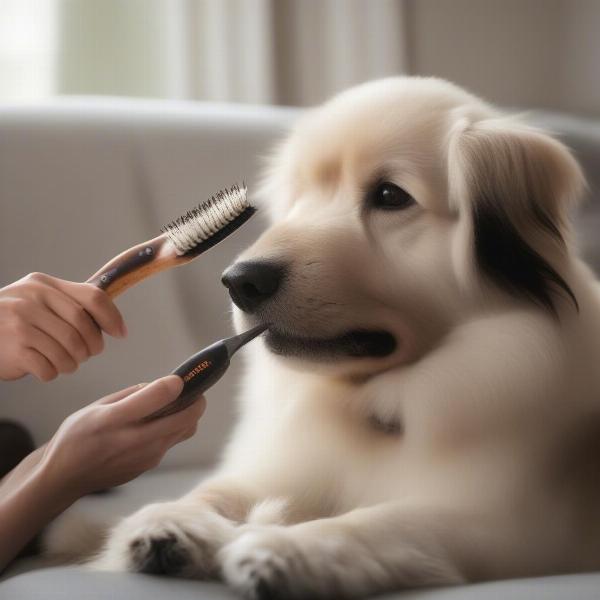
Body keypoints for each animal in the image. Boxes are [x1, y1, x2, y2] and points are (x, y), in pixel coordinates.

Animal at [85, 77, 600, 596]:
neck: (368, 402)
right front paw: (168, 522)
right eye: (299, 199)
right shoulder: (279, 467)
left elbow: (376, 523)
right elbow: (216, 491)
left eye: (391, 196)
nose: (240, 281)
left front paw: (281, 547)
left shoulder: (505, 525)